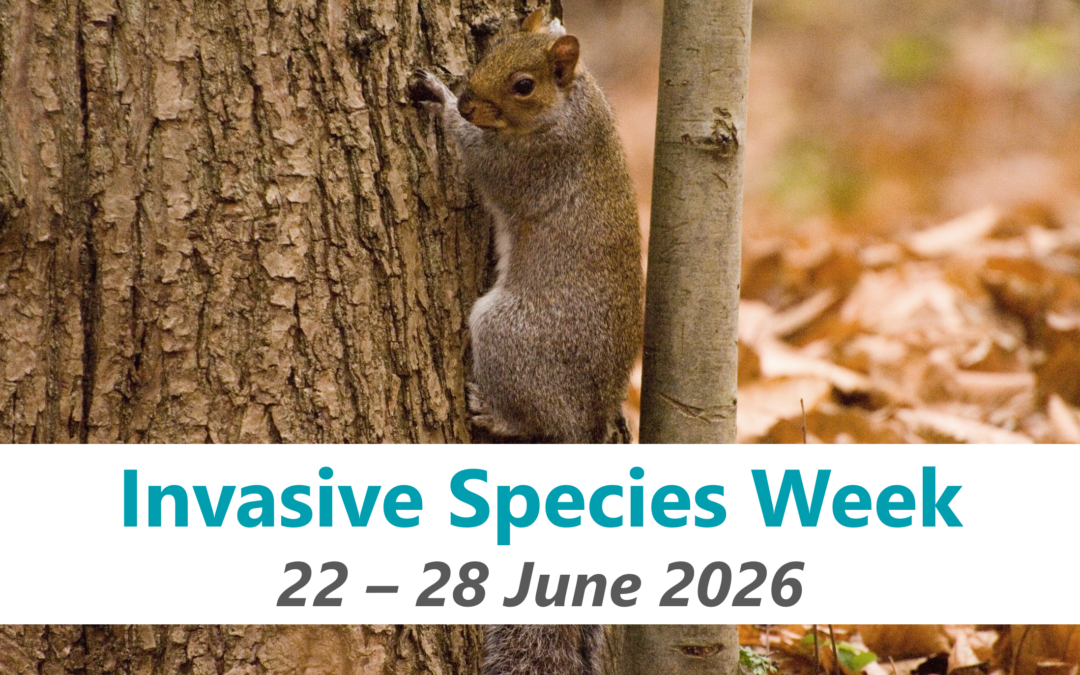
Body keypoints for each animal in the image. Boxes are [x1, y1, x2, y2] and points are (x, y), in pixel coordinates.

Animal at [409, 7, 643, 445]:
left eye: (524, 86)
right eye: (493, 50)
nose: (466, 104)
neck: (570, 107)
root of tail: (582, 424)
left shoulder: (534, 160)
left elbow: (481, 156)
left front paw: (440, 98)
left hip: (508, 334)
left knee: (537, 420)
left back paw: (495, 414)